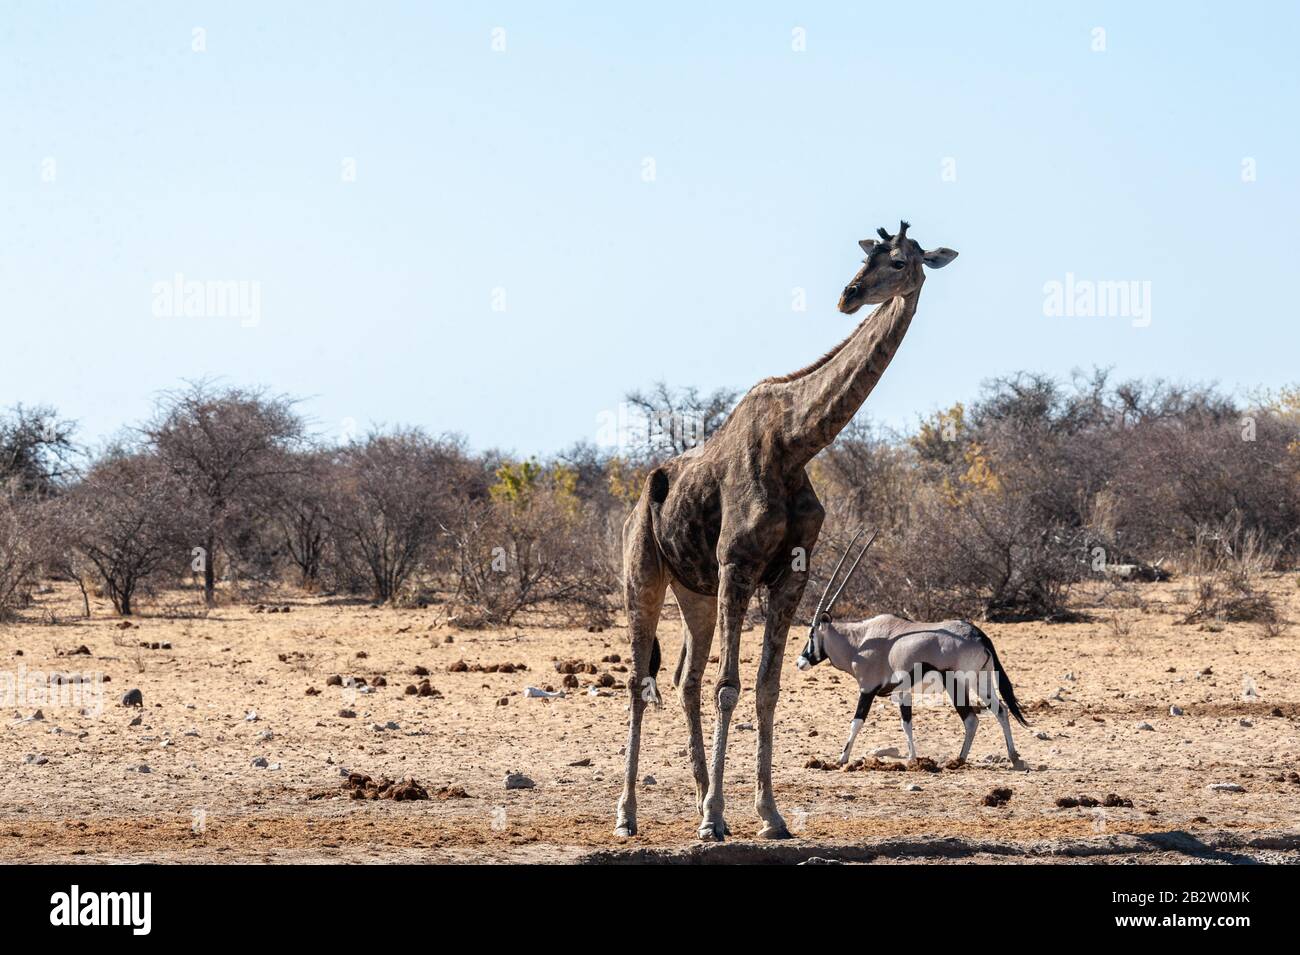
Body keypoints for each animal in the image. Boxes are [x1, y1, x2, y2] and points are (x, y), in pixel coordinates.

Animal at [608, 222, 956, 836]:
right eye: (869, 256)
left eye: (899, 260)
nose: (848, 295)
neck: (795, 443)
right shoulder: (738, 564)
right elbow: (730, 687)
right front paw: (715, 819)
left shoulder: (792, 572)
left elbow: (767, 688)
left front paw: (767, 814)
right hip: (644, 577)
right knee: (640, 679)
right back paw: (628, 815)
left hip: (696, 592)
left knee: (684, 678)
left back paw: (698, 792)